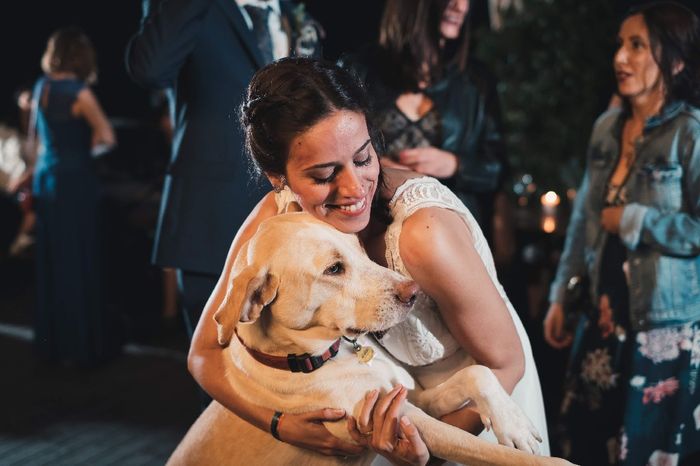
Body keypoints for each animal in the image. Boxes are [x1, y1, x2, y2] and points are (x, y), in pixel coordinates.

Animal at [168, 214, 568, 466]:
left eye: (357, 248)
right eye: (333, 269)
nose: (413, 292)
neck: (319, 358)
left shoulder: (411, 396)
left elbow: (478, 373)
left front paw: (512, 421)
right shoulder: (410, 421)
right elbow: (490, 452)